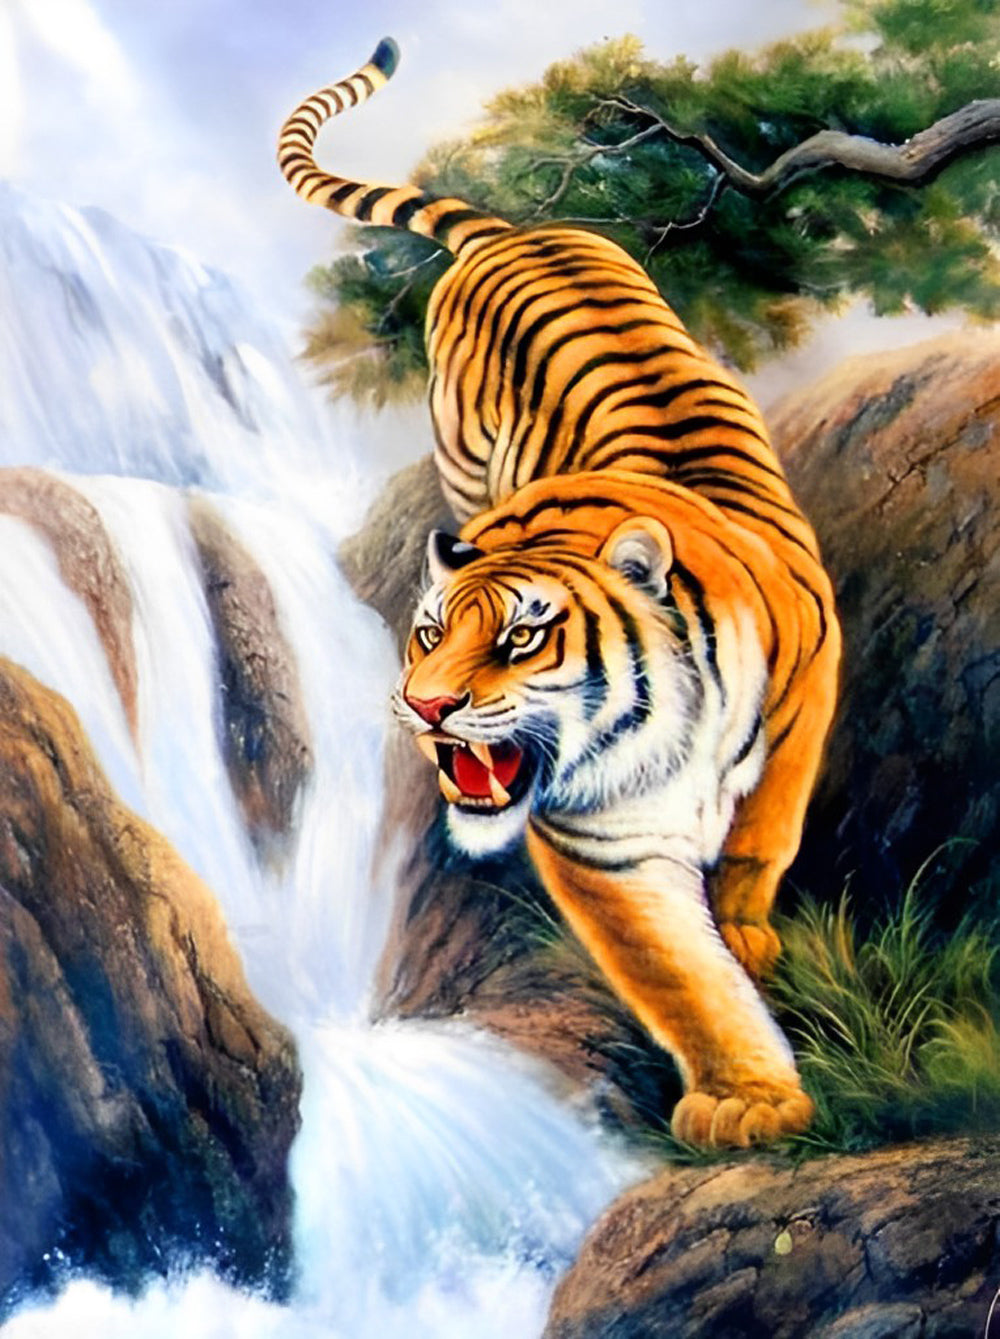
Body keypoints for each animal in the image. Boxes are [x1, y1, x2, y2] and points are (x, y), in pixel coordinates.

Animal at [278, 38, 841, 1148]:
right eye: (426, 636)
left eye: (521, 639)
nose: (424, 709)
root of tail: (514, 229)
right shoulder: (600, 844)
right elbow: (677, 972)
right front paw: (748, 1097)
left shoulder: (809, 698)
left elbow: (764, 839)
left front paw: (748, 936)